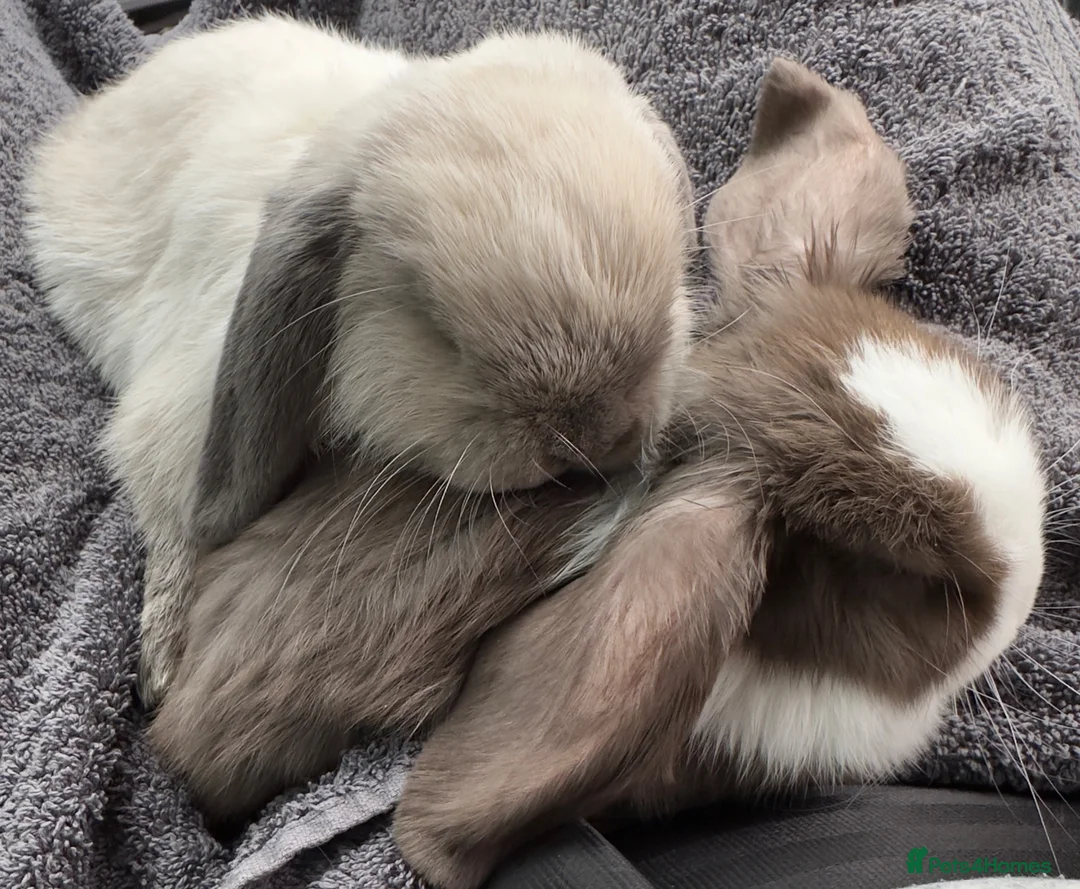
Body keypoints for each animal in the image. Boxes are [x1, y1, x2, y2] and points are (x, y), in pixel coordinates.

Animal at [21, 14, 696, 706]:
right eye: (434, 329)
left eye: (671, 288)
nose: (597, 438)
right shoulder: (172, 422)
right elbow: (175, 524)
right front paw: (163, 662)